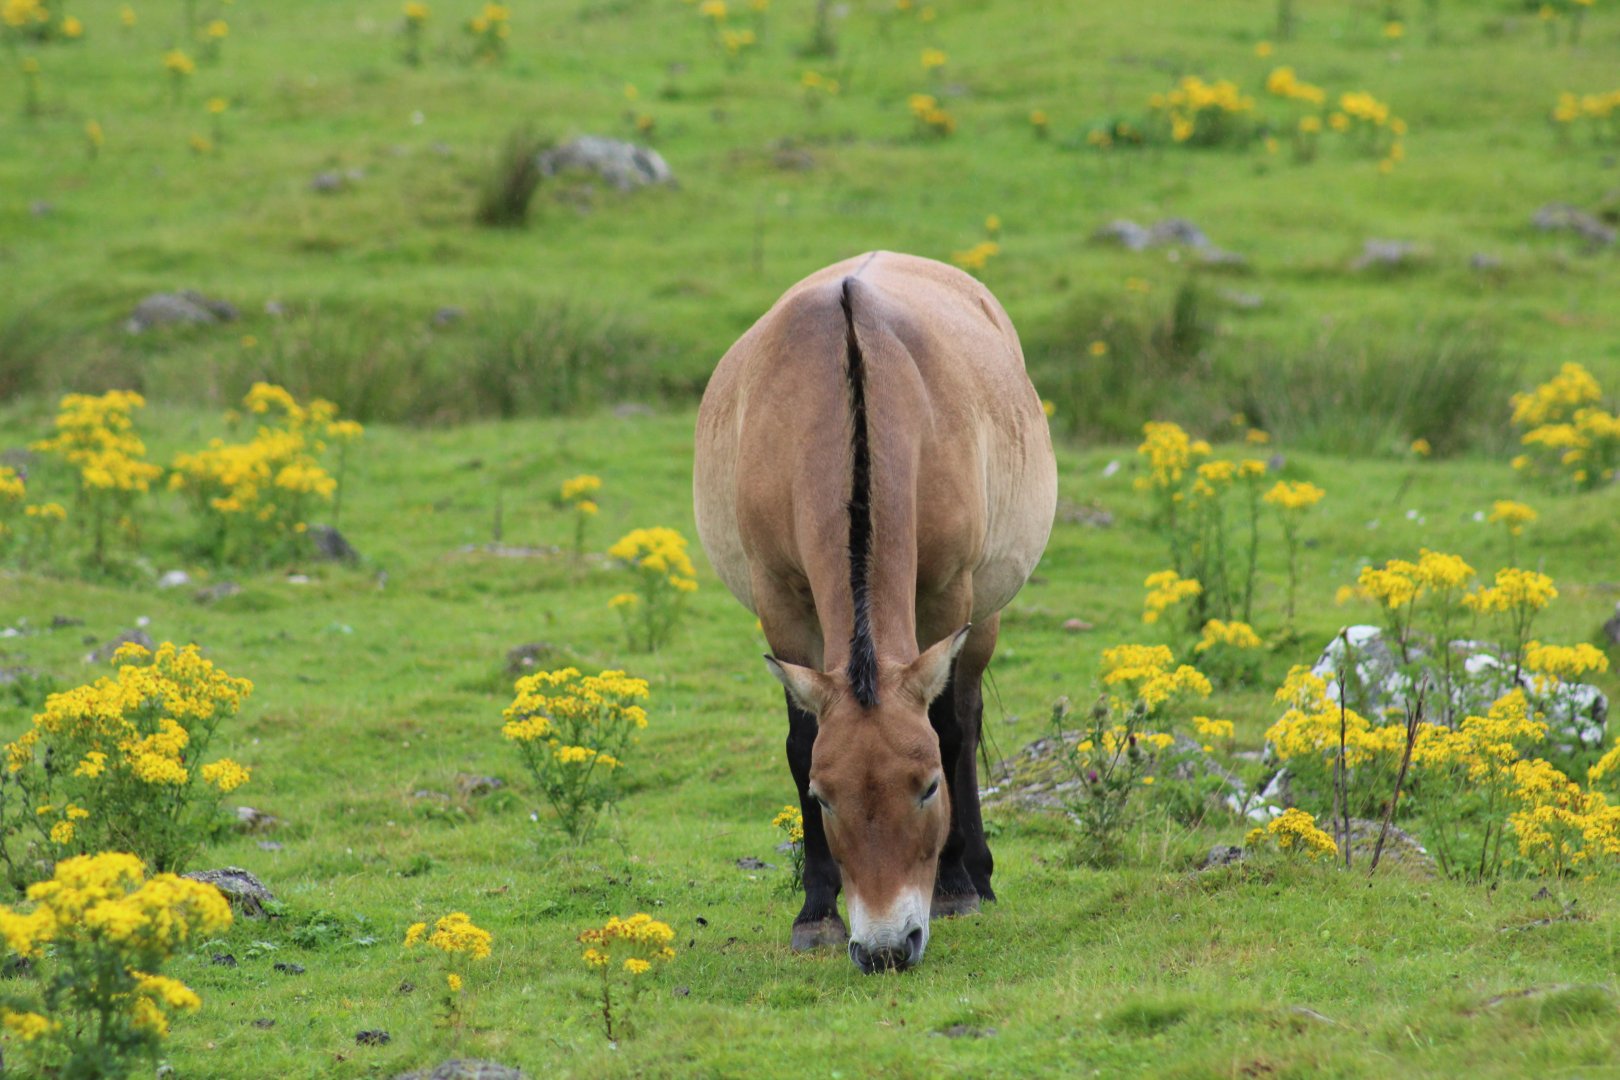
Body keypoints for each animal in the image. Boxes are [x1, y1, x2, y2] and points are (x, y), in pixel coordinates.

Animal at [693, 251, 1057, 973]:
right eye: (823, 796)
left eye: (926, 787)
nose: (888, 947)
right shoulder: (781, 602)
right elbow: (799, 741)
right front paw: (816, 914)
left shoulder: (947, 594)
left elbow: (947, 728)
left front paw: (954, 886)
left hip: (984, 612)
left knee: (968, 710)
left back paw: (976, 874)